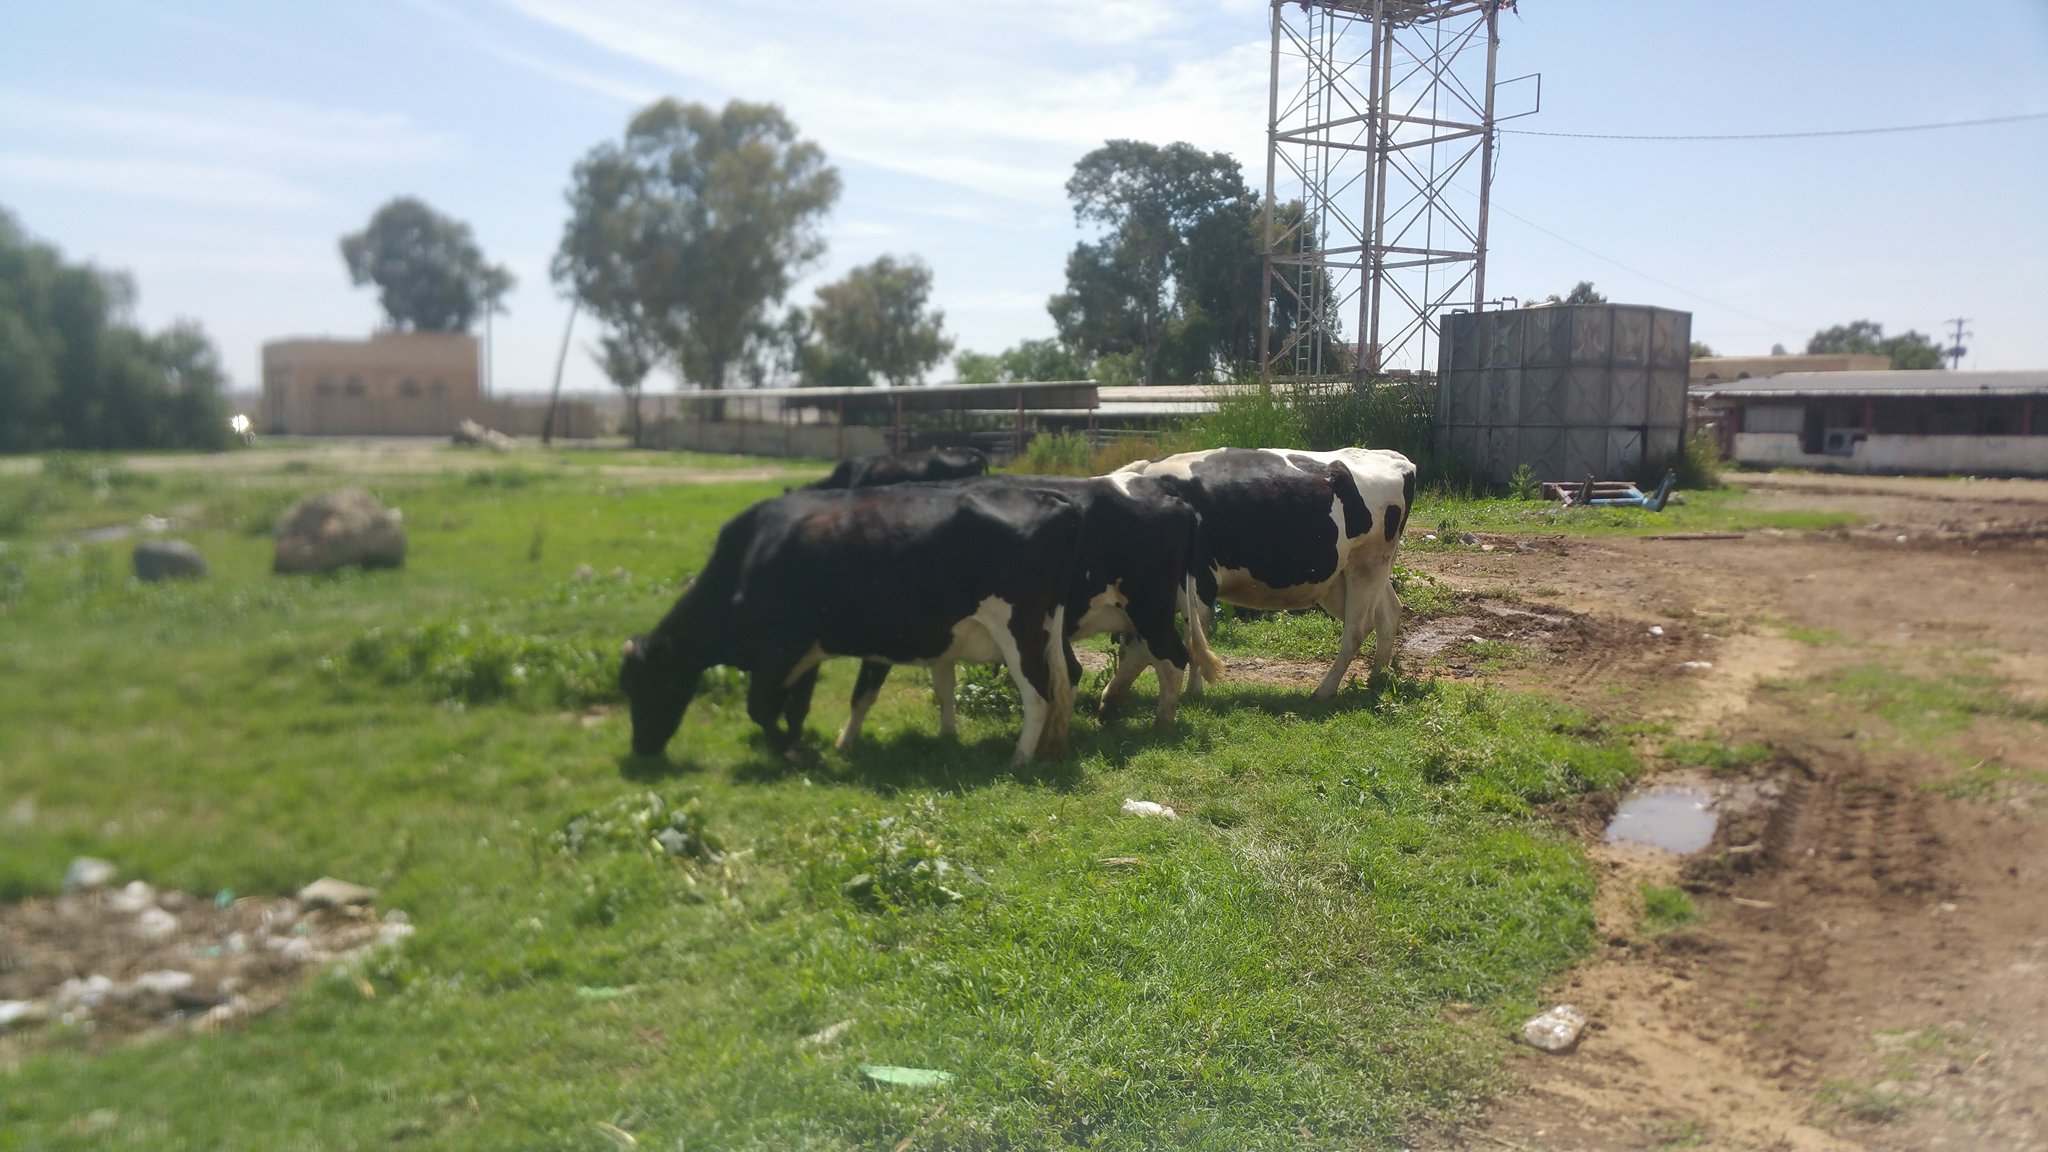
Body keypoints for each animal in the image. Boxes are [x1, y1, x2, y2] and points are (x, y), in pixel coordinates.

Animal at [614, 481, 1081, 762]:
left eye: (651, 684)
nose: (640, 747)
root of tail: (1053, 499)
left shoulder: (780, 649)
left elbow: (759, 707)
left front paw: (793, 752)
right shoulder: (806, 653)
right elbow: (803, 706)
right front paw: (810, 742)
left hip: (1017, 631)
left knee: (1038, 694)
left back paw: (1020, 758)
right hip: (1045, 632)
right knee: (1061, 682)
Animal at [835, 471, 1220, 750]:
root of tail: (1166, 491)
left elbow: (864, 690)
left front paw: (845, 742)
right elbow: (942, 682)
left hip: (1148, 605)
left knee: (1172, 656)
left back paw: (1162, 722)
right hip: (1139, 611)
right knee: (1146, 652)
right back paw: (1111, 705)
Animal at [1105, 446, 1425, 701]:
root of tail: (1392, 457)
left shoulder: (1200, 581)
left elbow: (1195, 639)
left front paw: (1192, 693)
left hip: (1368, 563)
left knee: (1358, 628)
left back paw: (1325, 690)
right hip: (1349, 574)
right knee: (1388, 613)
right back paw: (1376, 678)